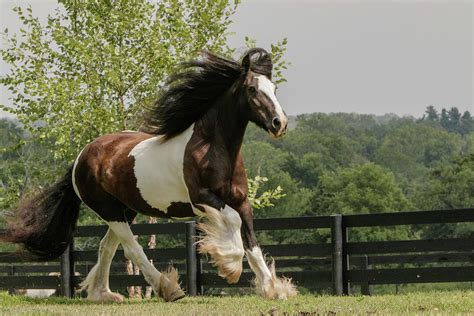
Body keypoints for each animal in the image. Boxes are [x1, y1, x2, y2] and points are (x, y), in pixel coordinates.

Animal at [1, 48, 296, 302]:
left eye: (274, 89)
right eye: (252, 89)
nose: (279, 123)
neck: (212, 148)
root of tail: (81, 157)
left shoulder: (242, 201)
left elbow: (252, 244)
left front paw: (274, 290)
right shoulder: (202, 199)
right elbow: (235, 227)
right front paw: (229, 265)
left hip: (124, 210)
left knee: (107, 247)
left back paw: (103, 294)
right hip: (109, 211)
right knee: (132, 248)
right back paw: (168, 289)